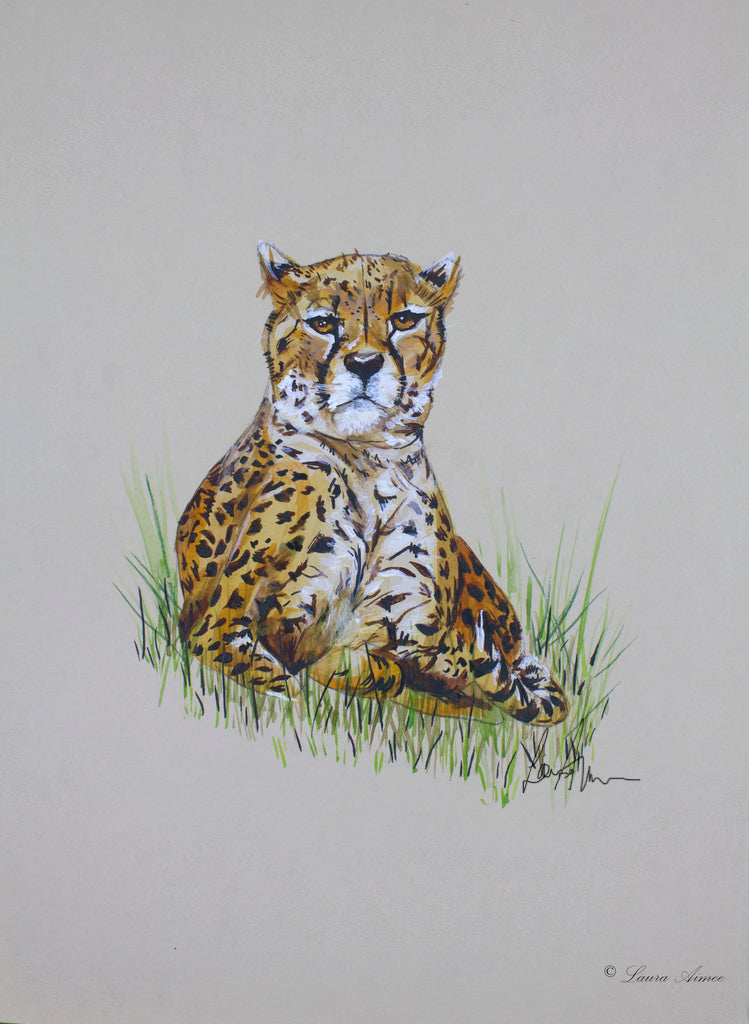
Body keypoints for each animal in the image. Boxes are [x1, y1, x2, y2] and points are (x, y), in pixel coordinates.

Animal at [175, 243, 568, 725]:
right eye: (323, 323)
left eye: (403, 319)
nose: (364, 363)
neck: (366, 462)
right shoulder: (217, 630)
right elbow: (293, 685)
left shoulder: (417, 626)